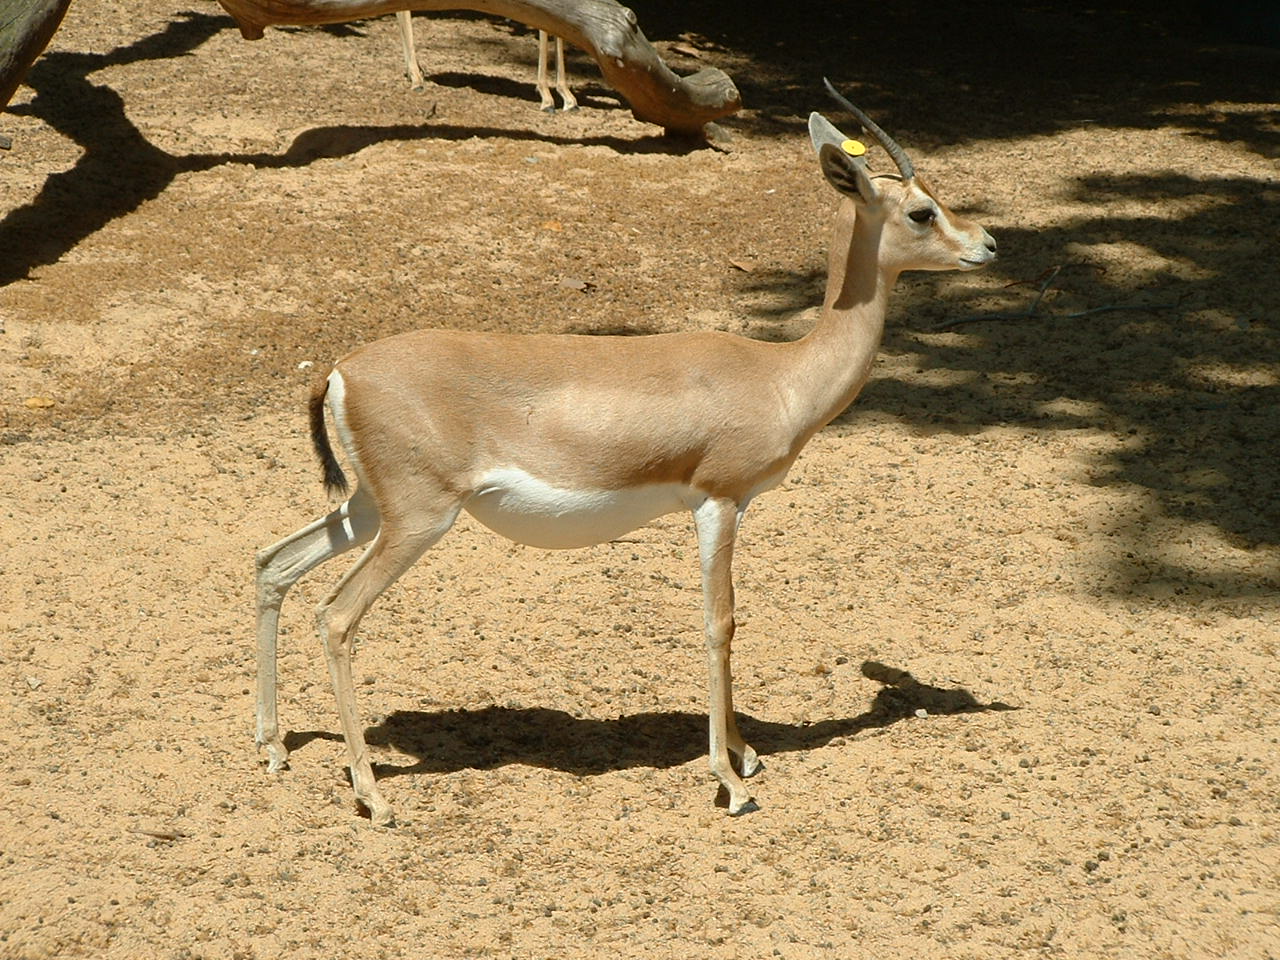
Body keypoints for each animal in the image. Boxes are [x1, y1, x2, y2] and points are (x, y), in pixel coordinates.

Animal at [254, 82, 997, 826]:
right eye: (922, 210)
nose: (988, 245)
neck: (779, 375)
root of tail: (341, 370)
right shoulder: (718, 501)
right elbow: (719, 622)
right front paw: (731, 782)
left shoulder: (723, 506)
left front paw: (747, 754)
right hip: (417, 520)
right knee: (336, 616)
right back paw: (371, 795)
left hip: (369, 509)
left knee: (273, 564)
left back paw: (273, 747)